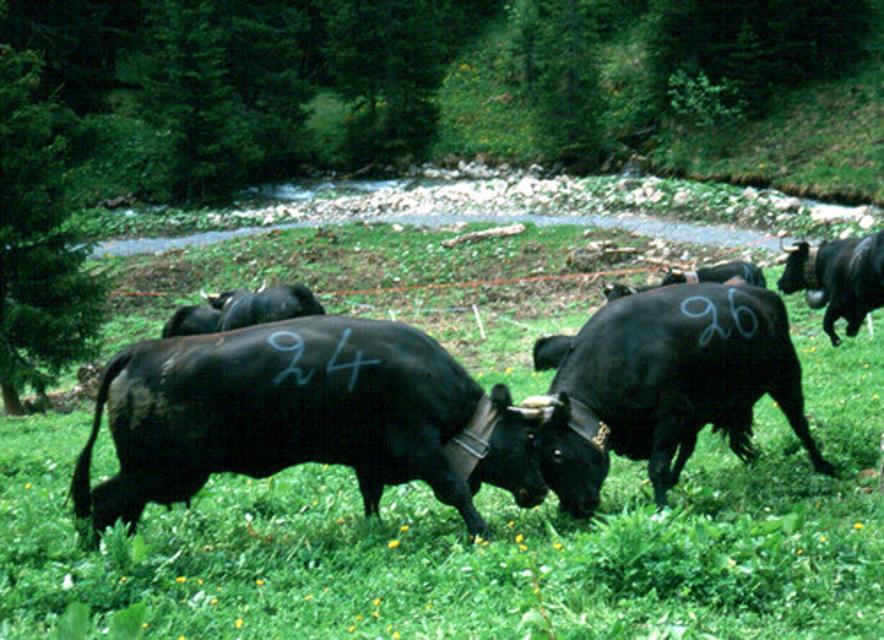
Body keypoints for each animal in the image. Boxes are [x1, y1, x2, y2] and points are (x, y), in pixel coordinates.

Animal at [72, 316, 548, 544]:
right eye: (528, 440)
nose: (541, 489)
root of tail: (139, 351)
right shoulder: (420, 447)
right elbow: (456, 490)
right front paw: (482, 530)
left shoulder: (369, 458)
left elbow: (370, 497)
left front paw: (373, 529)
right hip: (160, 470)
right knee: (103, 500)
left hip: (153, 473)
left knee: (120, 507)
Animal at [525, 283, 836, 519]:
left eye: (557, 453)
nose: (573, 509)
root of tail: (763, 296)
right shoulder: (687, 414)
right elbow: (679, 454)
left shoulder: (671, 415)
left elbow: (657, 465)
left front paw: (662, 507)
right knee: (697, 445)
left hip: (786, 377)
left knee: (799, 424)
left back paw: (824, 466)